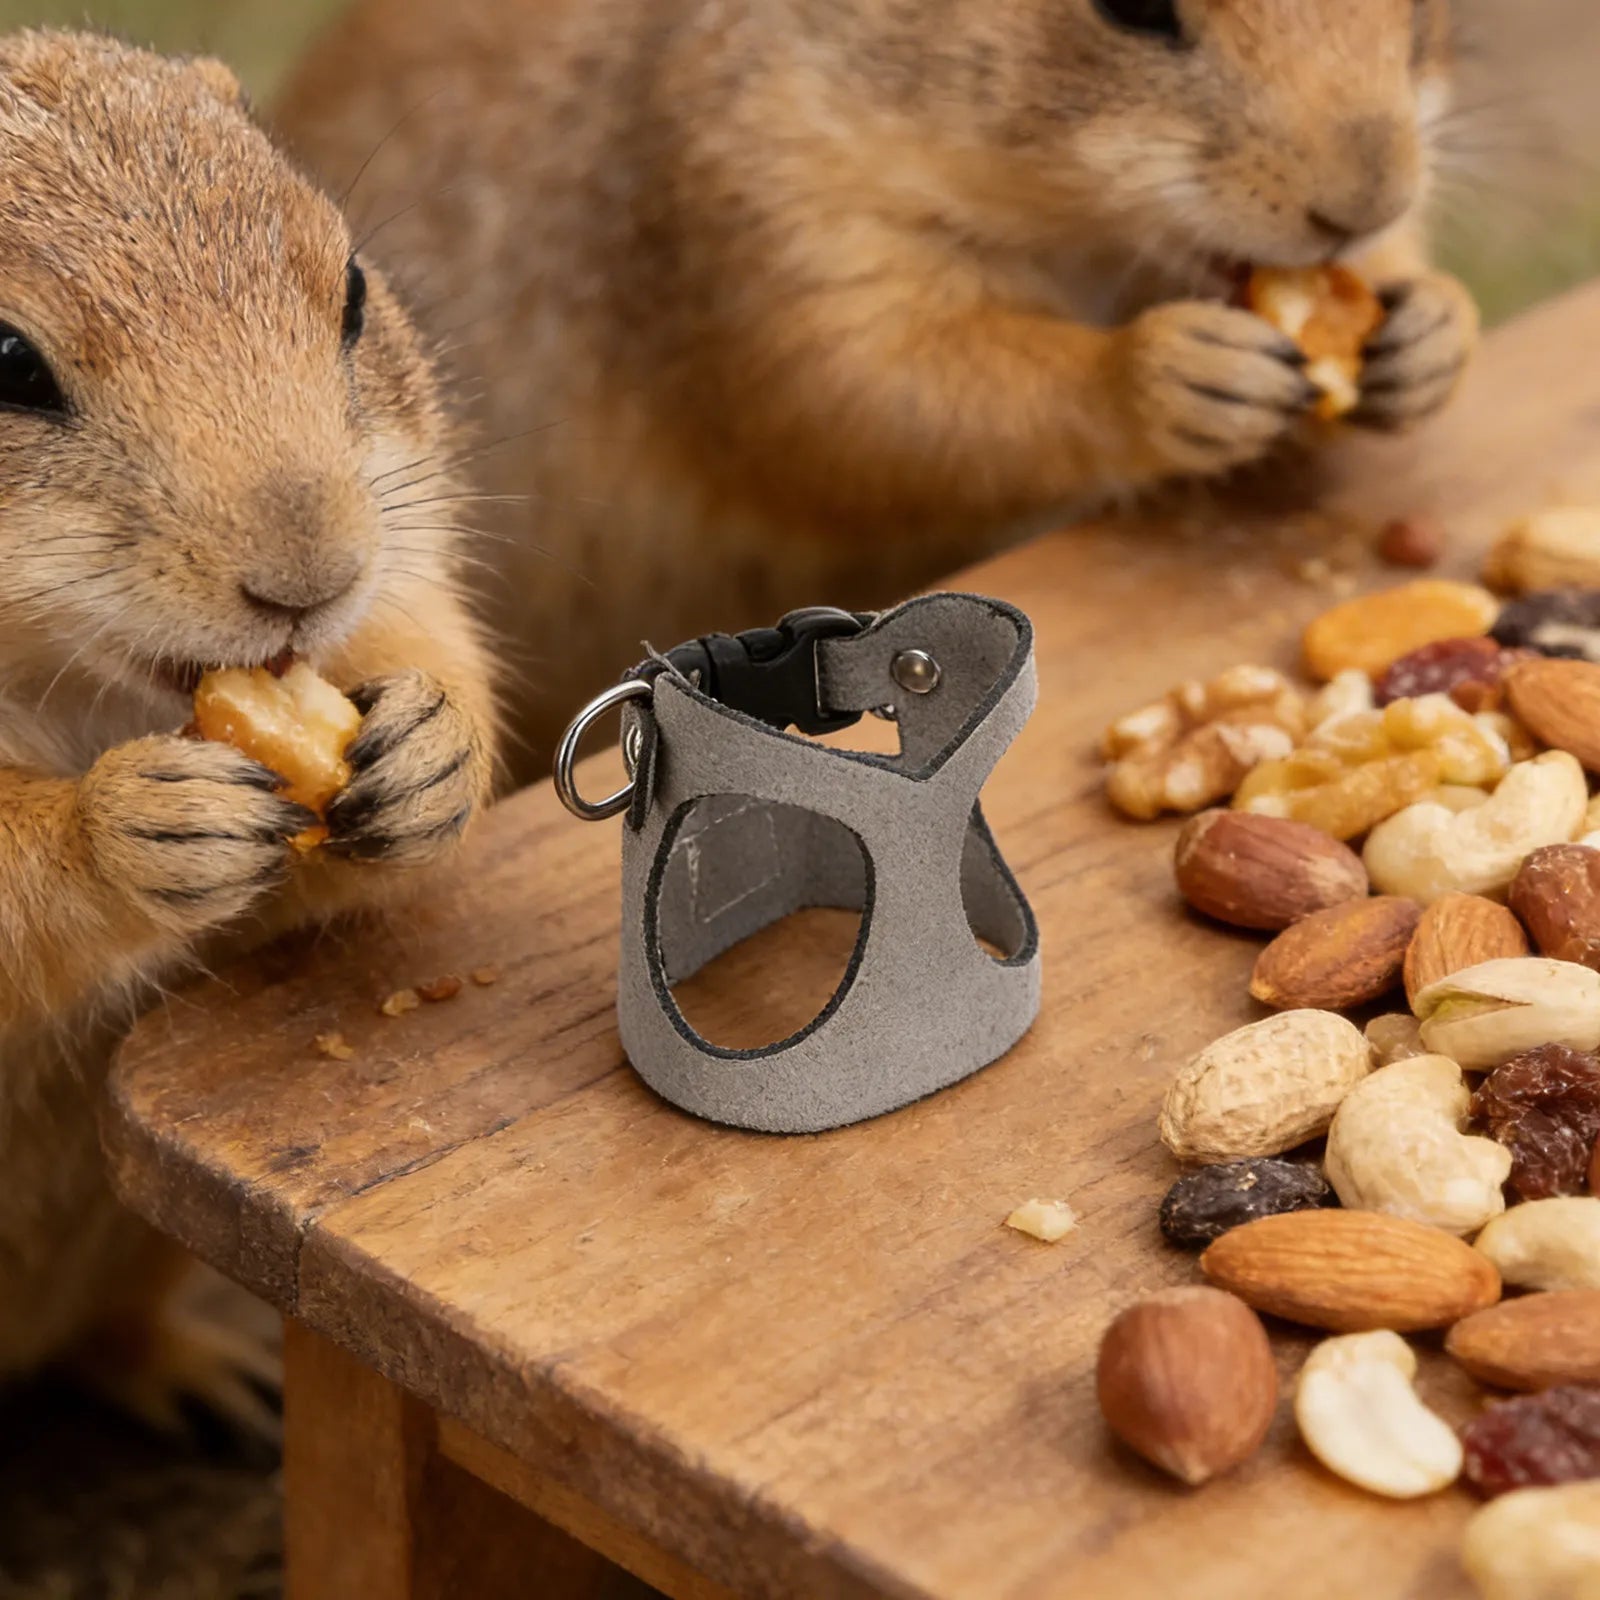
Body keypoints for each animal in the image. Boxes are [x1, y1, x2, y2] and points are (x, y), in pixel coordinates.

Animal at [277, 0, 1480, 777]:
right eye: (1129, 2)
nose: (1366, 196)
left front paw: (1433, 327)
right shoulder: (766, 211)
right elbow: (870, 396)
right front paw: (1157, 375)